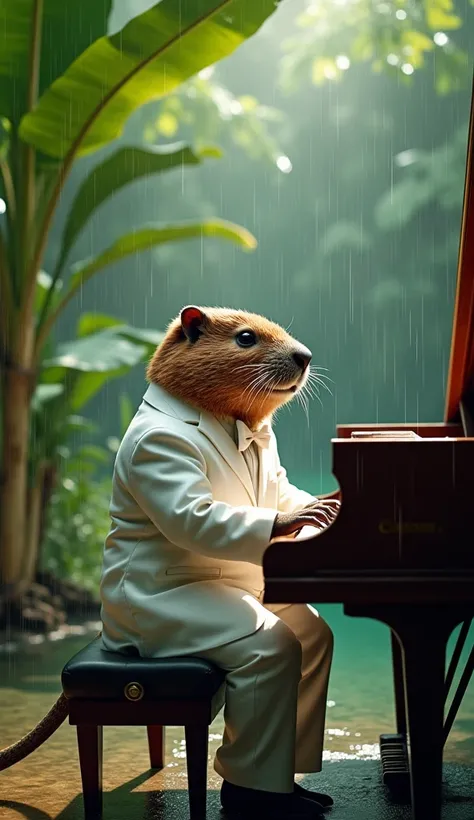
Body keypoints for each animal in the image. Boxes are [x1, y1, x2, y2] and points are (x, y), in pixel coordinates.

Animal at [0, 304, 336, 772]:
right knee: (275, 651)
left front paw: (324, 504)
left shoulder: (274, 464)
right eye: (245, 338)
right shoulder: (160, 452)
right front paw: (298, 516)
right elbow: (193, 515)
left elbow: (283, 486)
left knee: (314, 637)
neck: (234, 425)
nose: (304, 356)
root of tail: (112, 643)